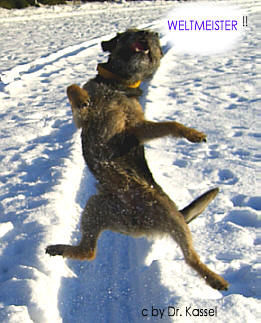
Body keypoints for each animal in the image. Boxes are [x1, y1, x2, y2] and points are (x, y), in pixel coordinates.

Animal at [46, 29, 228, 292]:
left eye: (153, 38)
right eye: (130, 32)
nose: (147, 33)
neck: (118, 85)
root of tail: (138, 225)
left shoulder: (134, 128)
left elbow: (171, 124)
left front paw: (191, 133)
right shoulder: (89, 119)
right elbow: (72, 88)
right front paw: (81, 98)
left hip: (169, 216)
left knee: (190, 257)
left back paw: (214, 278)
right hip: (96, 206)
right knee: (88, 251)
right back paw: (58, 248)